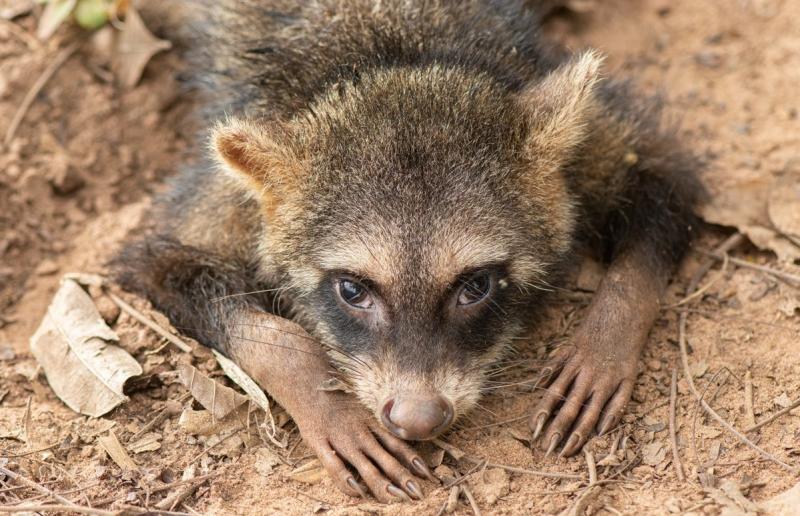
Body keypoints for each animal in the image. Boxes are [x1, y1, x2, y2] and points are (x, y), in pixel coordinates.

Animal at [112, 0, 700, 502]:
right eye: (352, 290)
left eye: (475, 286)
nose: (418, 419)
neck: (391, 58)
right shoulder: (228, 200)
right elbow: (165, 265)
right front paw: (320, 393)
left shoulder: (574, 132)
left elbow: (663, 176)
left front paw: (606, 337)